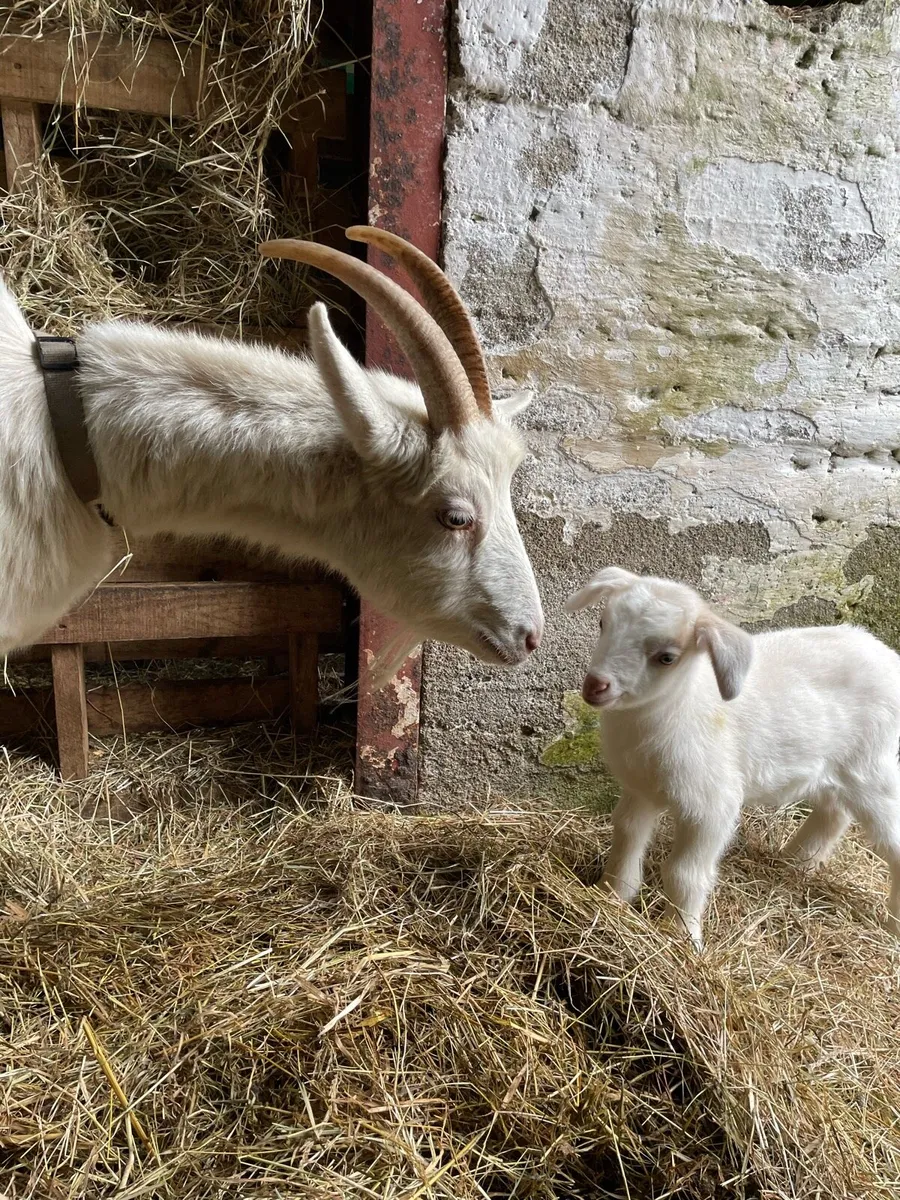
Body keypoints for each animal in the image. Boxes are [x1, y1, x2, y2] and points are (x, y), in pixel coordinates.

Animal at [566, 567, 900, 947]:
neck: (678, 706)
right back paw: (796, 862)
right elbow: (625, 838)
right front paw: (610, 896)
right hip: (836, 768)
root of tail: (887, 655)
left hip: (872, 767)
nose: (595, 685)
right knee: (834, 812)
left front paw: (680, 934)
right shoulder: (639, 790)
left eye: (667, 657)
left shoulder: (710, 806)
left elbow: (684, 873)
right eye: (603, 623)